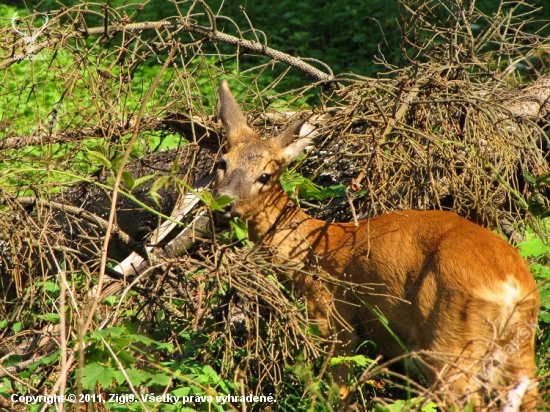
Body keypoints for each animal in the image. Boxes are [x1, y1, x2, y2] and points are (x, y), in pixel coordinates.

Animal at [213, 79, 540, 408]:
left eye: (265, 176)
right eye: (222, 162)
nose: (223, 202)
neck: (308, 248)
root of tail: (510, 287)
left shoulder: (333, 318)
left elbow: (338, 389)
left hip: (449, 337)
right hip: (518, 343)